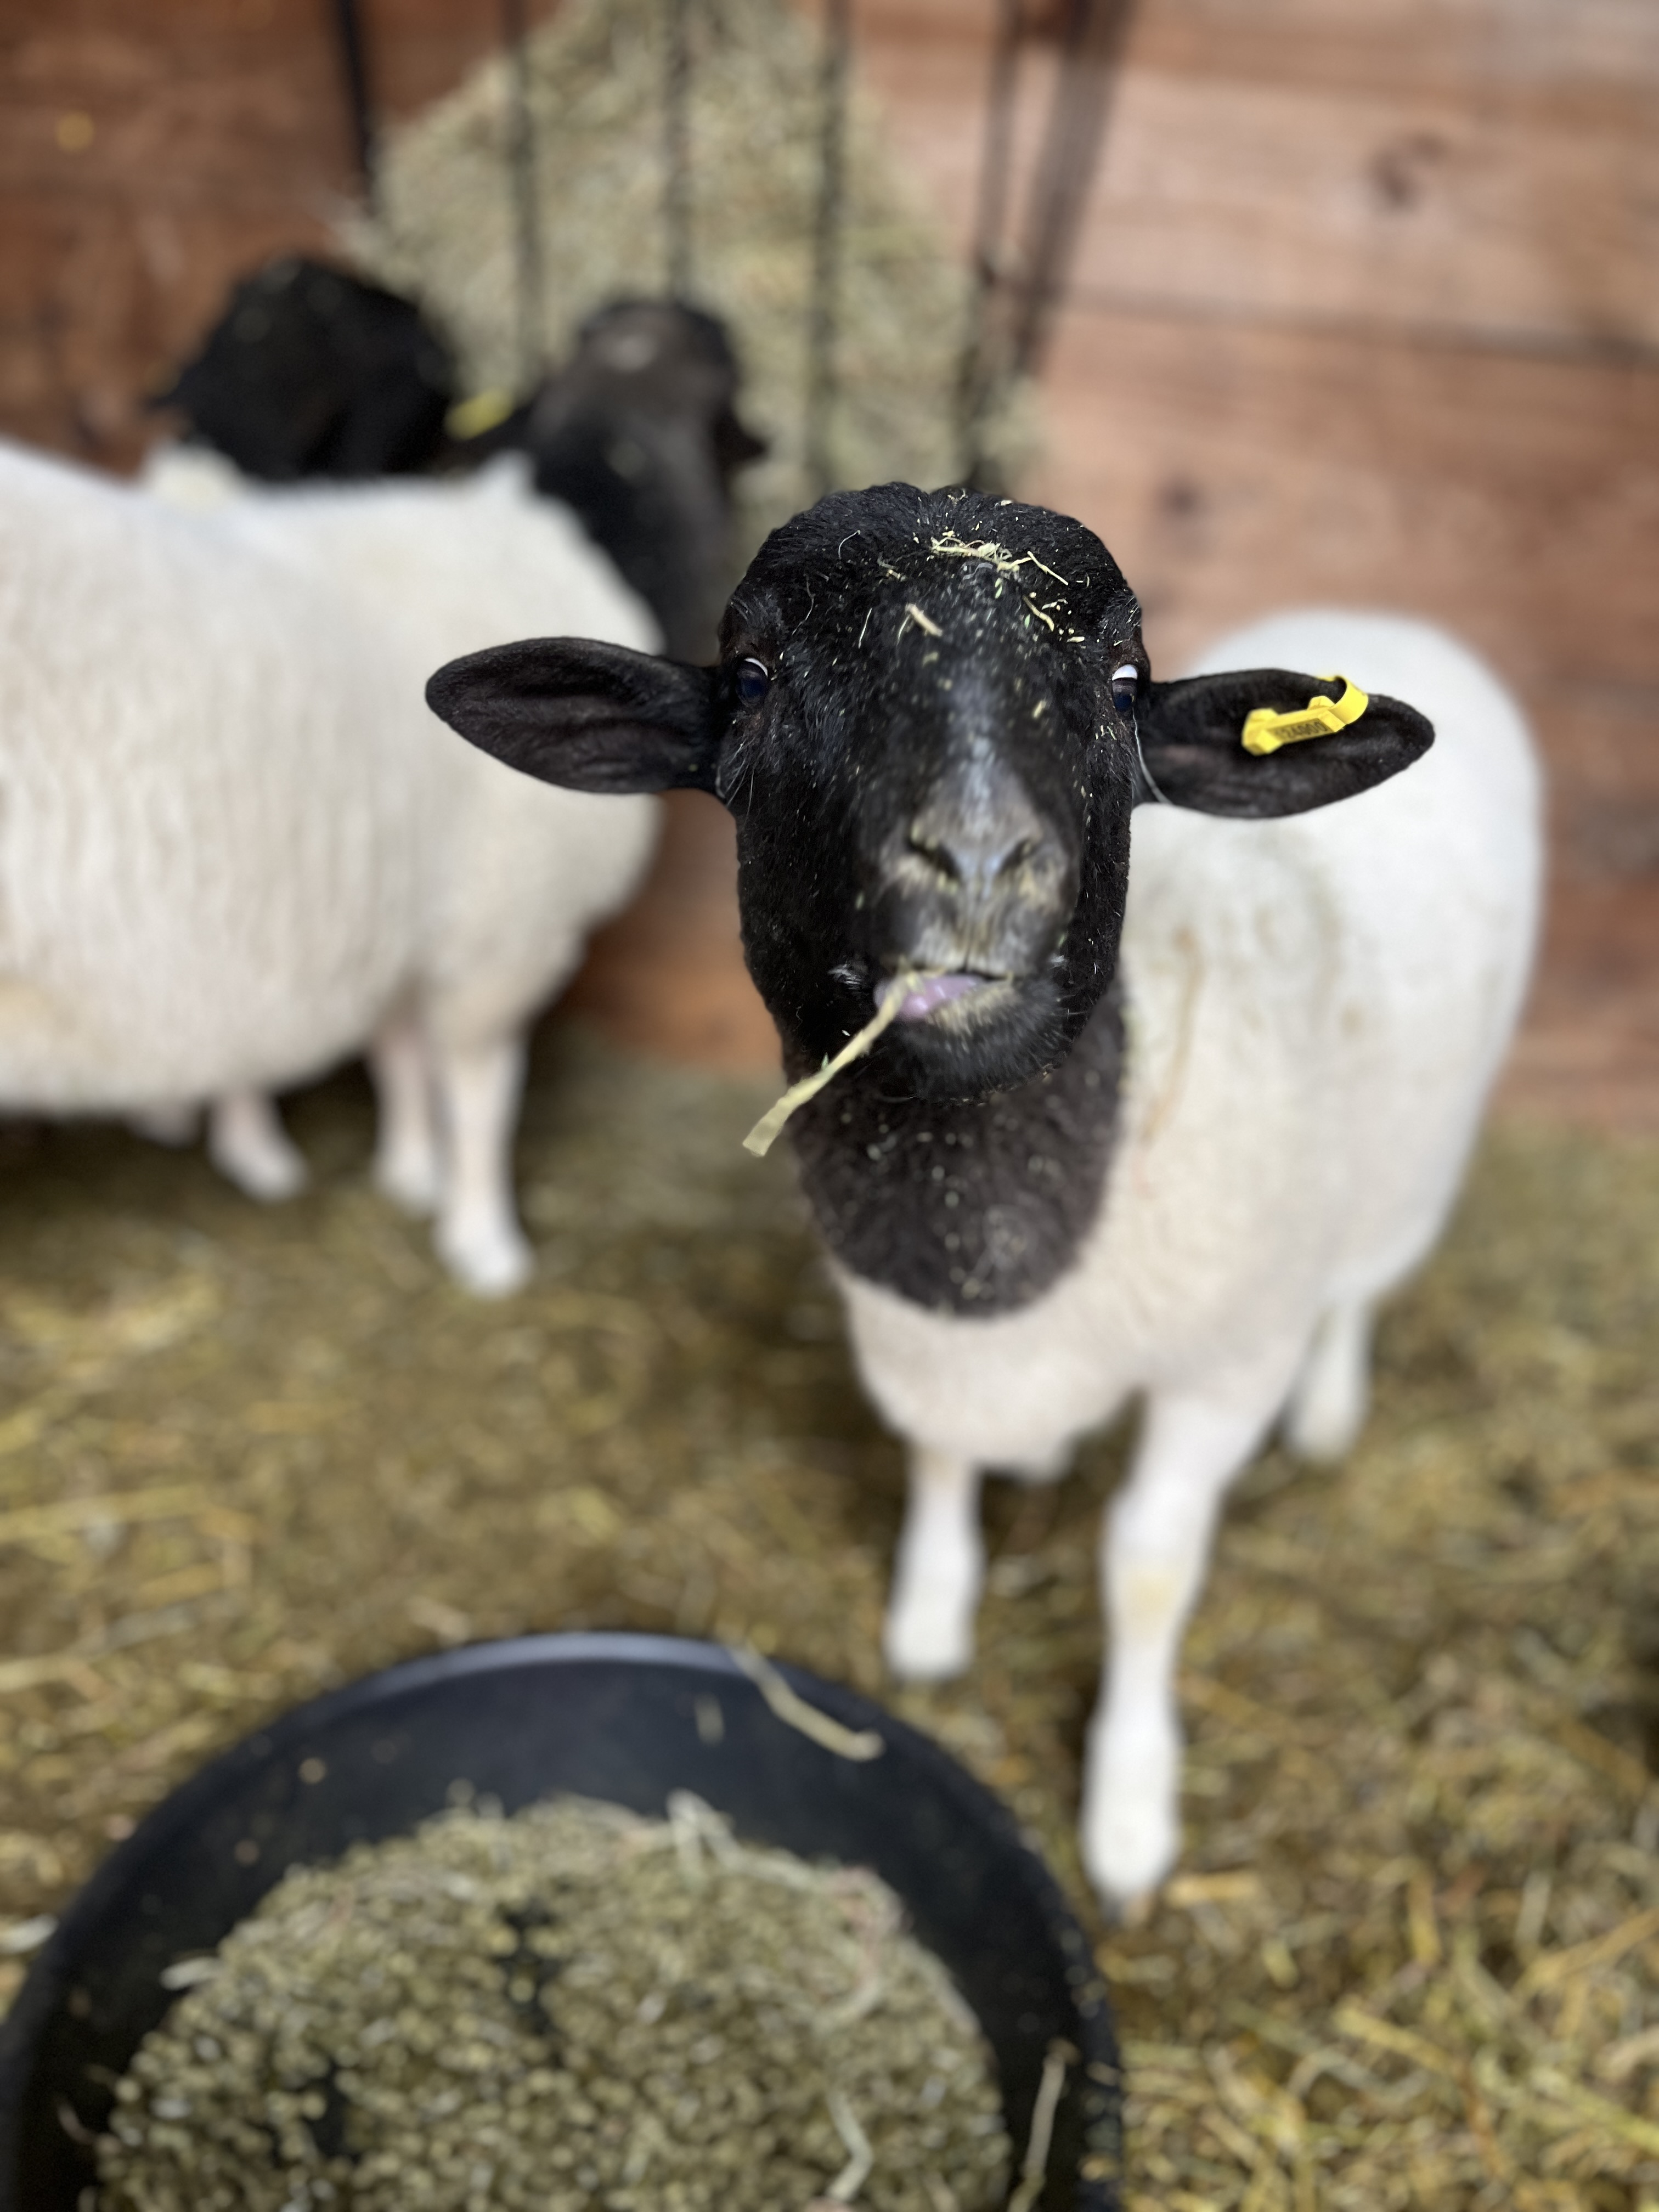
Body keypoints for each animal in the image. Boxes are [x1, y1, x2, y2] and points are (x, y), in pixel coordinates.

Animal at [0, 436, 659, 1295]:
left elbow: (399, 1050)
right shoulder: (503, 932)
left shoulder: (402, 909)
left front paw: (411, 1169)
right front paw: (484, 1240)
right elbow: (482, 1098)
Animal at [426, 481, 1542, 1906]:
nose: (974, 865)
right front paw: (929, 1617)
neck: (1002, 1240)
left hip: (1411, 1159)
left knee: (1362, 1283)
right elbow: (939, 1454)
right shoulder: (923, 1340)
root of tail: (1395, 618)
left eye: (1123, 688)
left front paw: (1127, 1815)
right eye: (754, 674)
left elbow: (1147, 1567)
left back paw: (1332, 1408)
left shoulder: (1223, 1365)